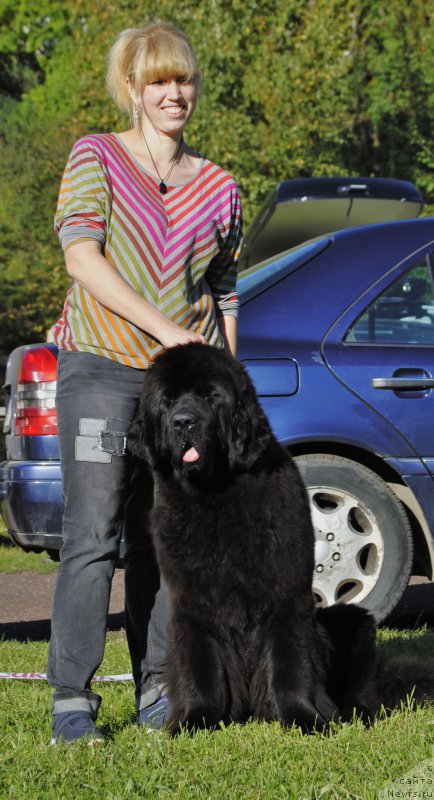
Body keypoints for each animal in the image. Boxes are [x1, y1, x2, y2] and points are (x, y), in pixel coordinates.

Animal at [128, 342, 430, 732]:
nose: (183, 421)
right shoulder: (193, 604)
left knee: (363, 687)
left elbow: (290, 665)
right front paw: (193, 720)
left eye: (211, 396)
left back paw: (356, 714)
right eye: (167, 400)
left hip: (353, 621)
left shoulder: (285, 598)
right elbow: (200, 669)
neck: (214, 495)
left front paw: (305, 719)